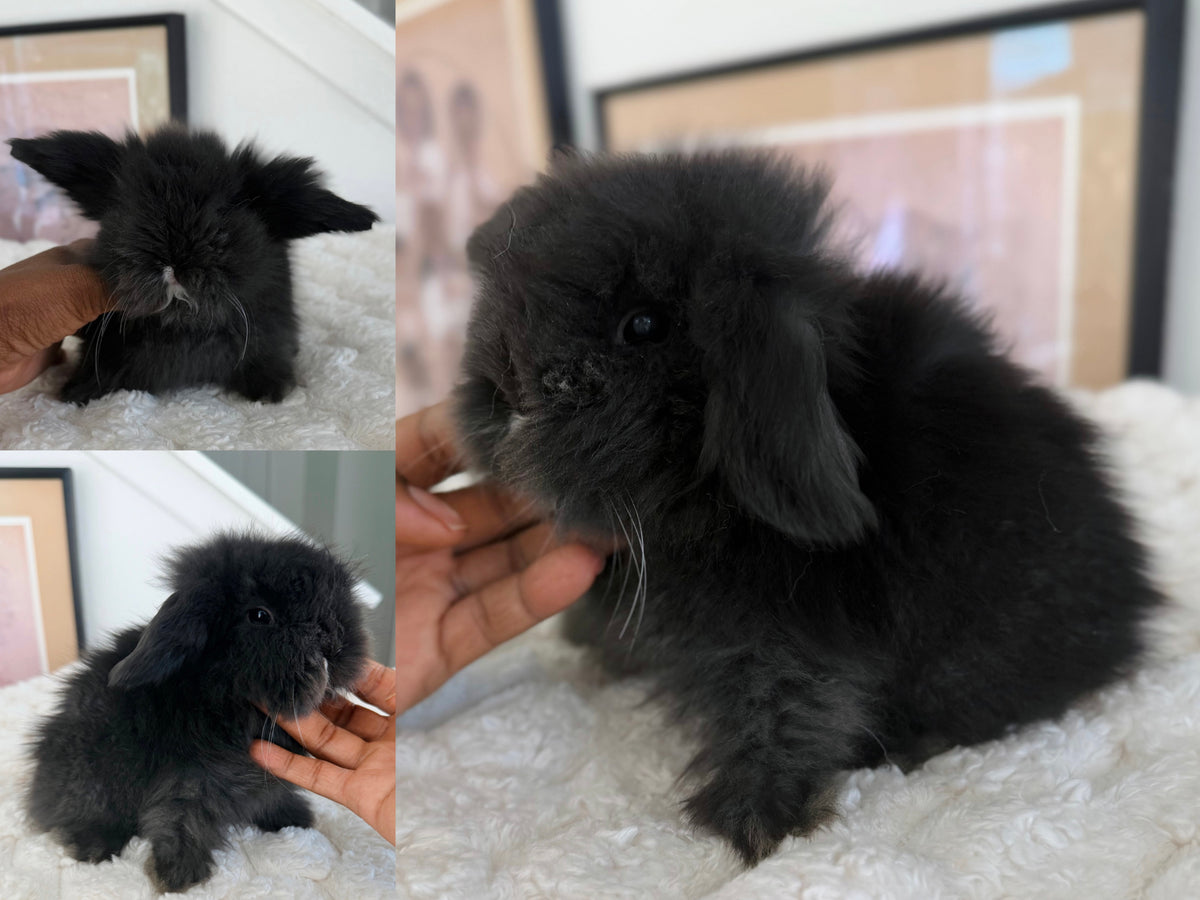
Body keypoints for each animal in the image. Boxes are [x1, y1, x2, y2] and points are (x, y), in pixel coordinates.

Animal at [7, 124, 378, 404]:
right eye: (130, 209)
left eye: (223, 214)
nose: (172, 261)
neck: (185, 325)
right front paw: (77, 392)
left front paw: (272, 392)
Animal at [25, 532, 369, 892]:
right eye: (260, 615)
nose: (333, 642)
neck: (228, 691)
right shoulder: (190, 783)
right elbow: (180, 822)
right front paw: (179, 877)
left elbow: (271, 799)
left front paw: (295, 818)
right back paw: (94, 848)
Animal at [453, 151, 1163, 865]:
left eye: (643, 326)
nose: (502, 391)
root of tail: (1133, 599)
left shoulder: (792, 631)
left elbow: (786, 702)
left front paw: (751, 822)